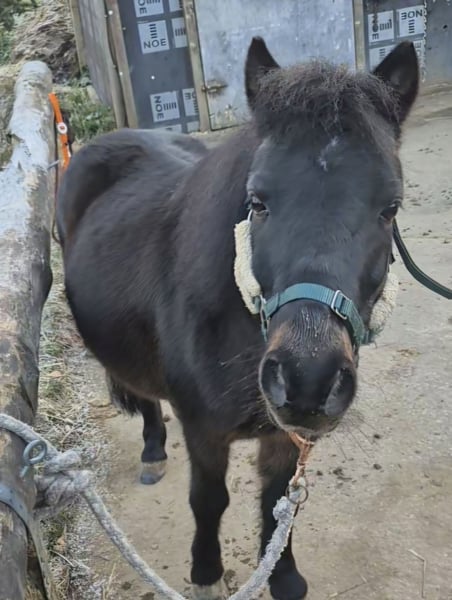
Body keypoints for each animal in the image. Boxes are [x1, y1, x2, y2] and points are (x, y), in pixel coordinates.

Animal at [56, 37, 419, 600]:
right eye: (258, 201)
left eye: (390, 208)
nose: (308, 379)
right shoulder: (203, 433)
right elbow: (208, 501)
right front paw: (205, 575)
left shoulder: (283, 436)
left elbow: (279, 500)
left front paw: (283, 577)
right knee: (143, 397)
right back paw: (153, 453)